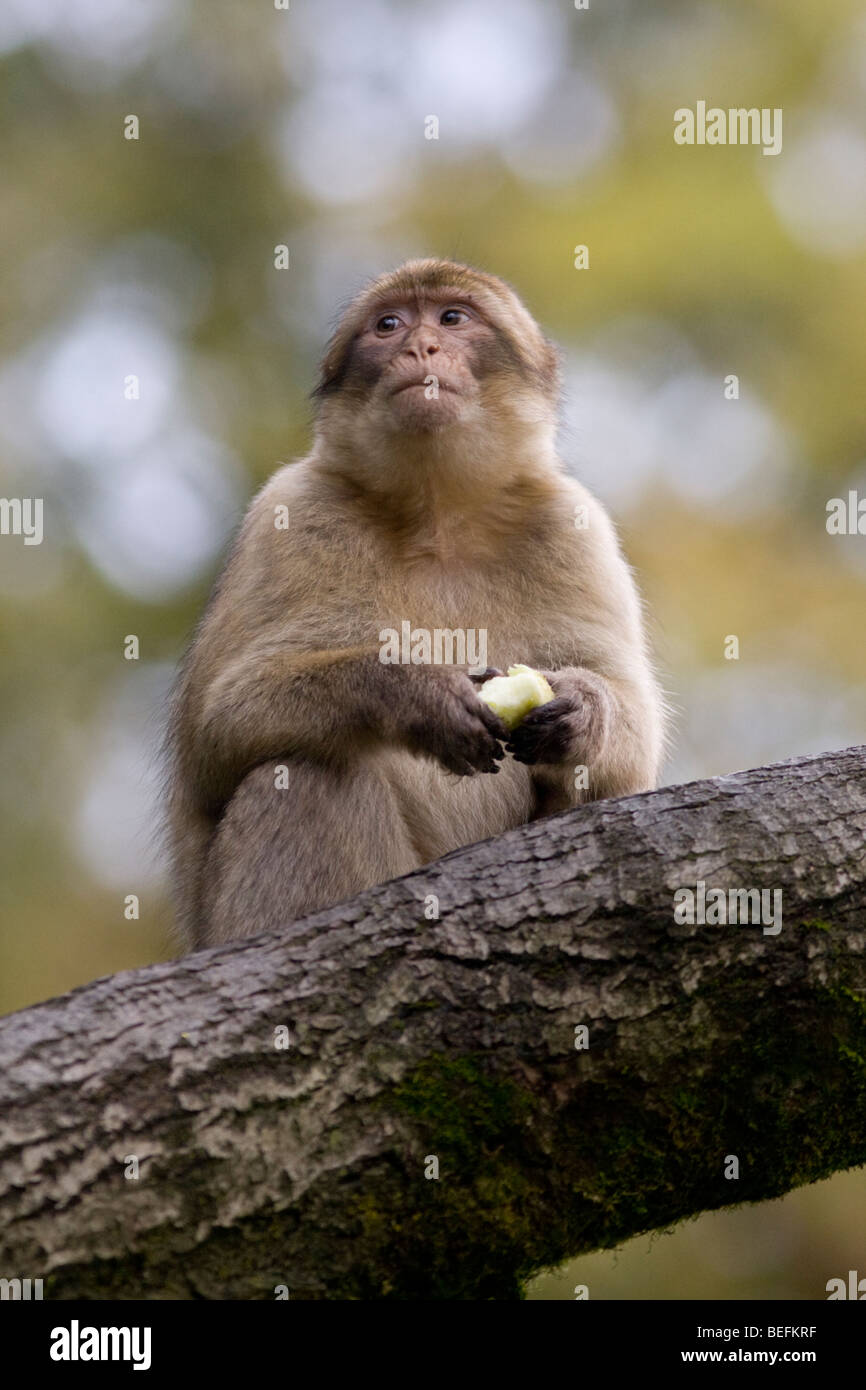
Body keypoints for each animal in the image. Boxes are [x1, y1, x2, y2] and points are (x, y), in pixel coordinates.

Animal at [169, 258, 667, 956]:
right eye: (389, 325)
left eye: (452, 318)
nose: (419, 347)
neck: (438, 516)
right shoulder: (290, 509)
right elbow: (215, 737)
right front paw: (411, 692)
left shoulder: (576, 526)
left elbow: (628, 759)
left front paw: (583, 706)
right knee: (305, 771)